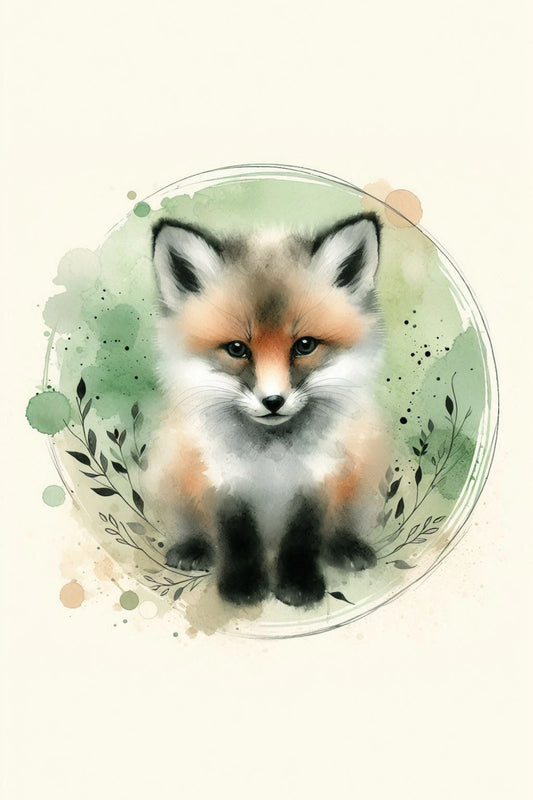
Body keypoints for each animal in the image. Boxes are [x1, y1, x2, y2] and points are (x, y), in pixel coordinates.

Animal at [145, 213, 388, 608]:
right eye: (237, 348)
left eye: (305, 345)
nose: (273, 401)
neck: (273, 458)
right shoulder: (223, 477)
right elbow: (238, 537)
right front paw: (243, 587)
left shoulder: (318, 477)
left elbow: (303, 537)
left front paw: (299, 586)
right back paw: (193, 547)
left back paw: (346, 546)